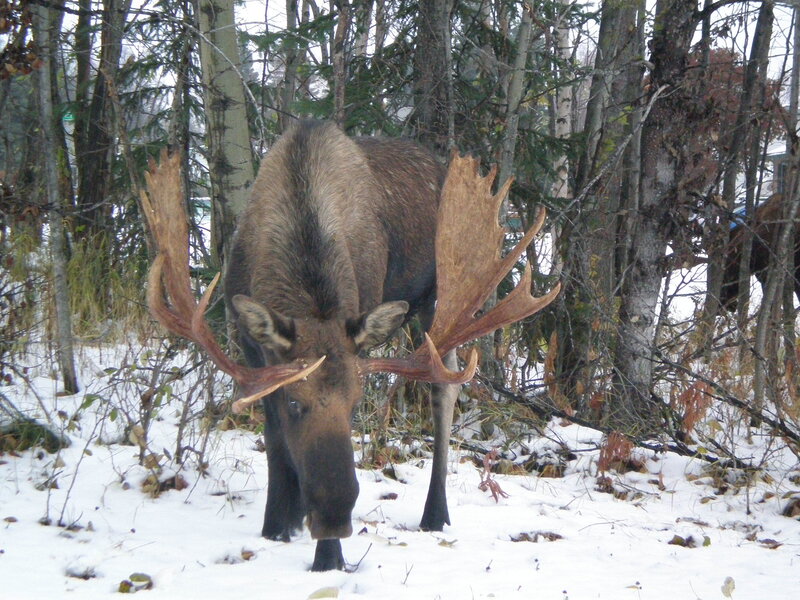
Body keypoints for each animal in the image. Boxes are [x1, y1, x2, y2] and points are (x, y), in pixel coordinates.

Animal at [142, 120, 559, 571]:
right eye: (295, 402)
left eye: (357, 403)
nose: (335, 515)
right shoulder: (251, 348)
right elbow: (273, 434)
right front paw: (277, 524)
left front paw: (327, 557)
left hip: (438, 299)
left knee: (444, 391)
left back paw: (435, 514)